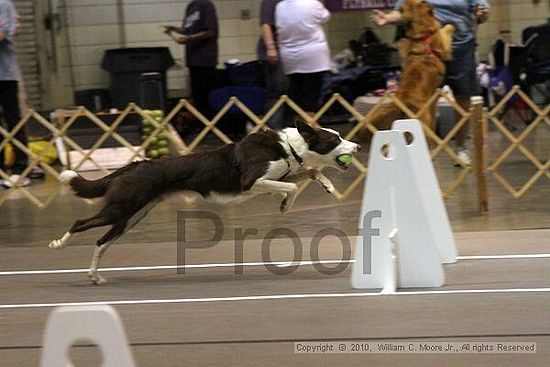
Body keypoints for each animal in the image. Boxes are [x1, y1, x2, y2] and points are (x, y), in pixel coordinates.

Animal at [48, 122, 362, 286]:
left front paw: (328, 185)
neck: (288, 148)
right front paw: (286, 203)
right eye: (336, 139)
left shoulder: (281, 173)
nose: (358, 146)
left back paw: (94, 275)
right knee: (81, 223)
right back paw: (58, 244)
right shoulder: (251, 182)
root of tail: (133, 165)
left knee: (102, 241)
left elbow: (309, 172)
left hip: (132, 216)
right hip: (122, 208)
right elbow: (293, 185)